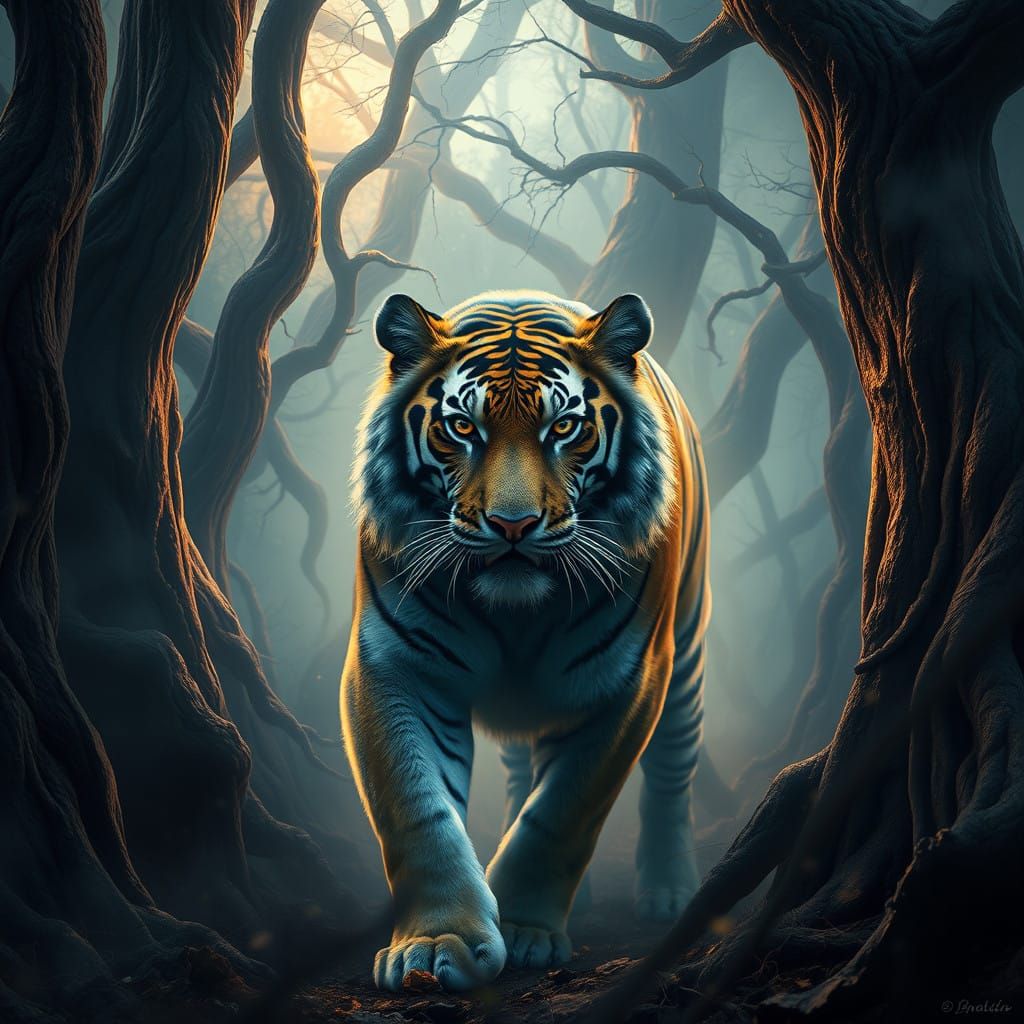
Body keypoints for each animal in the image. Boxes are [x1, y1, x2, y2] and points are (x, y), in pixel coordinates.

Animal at [342, 289, 711, 992]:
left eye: (563, 428)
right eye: (463, 428)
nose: (513, 525)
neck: (517, 616)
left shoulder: (630, 682)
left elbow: (561, 814)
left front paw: (522, 930)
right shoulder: (394, 669)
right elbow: (419, 810)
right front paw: (438, 942)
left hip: (686, 657)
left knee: (674, 773)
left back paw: (671, 889)